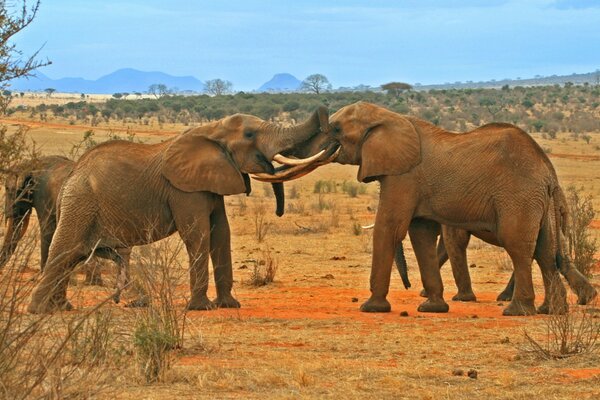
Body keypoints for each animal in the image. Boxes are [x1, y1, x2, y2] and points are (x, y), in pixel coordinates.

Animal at [27, 108, 328, 314]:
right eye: (250, 135)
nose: (324, 111)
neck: (211, 130)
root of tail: (73, 174)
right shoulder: (183, 190)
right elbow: (199, 235)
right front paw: (202, 308)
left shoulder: (210, 183)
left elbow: (222, 235)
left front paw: (229, 305)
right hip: (81, 202)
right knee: (66, 250)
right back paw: (39, 311)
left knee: (73, 255)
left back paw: (60, 308)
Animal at [254, 101, 592, 318]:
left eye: (335, 129)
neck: (392, 118)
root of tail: (548, 172)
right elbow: (421, 235)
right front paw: (432, 307)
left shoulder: (404, 176)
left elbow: (390, 227)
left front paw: (371, 307)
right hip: (540, 202)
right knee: (546, 251)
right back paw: (552, 311)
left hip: (518, 198)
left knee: (519, 246)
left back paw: (517, 311)